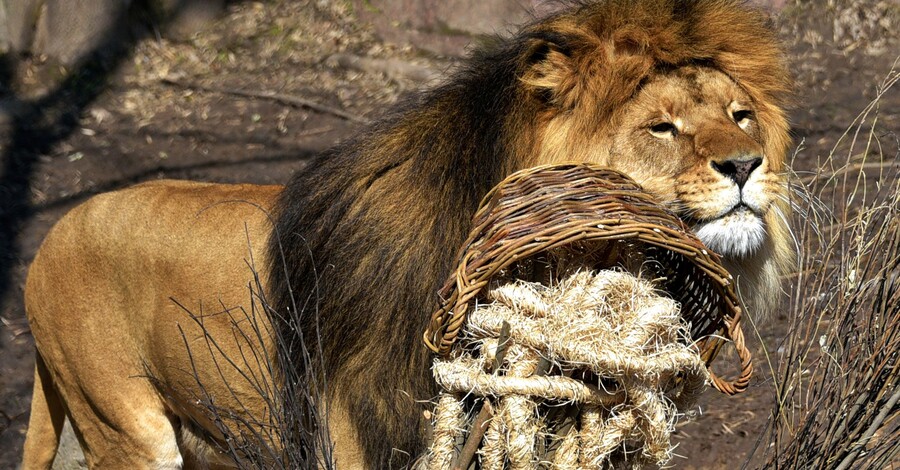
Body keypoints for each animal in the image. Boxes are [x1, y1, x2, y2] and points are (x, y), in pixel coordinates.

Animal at [21, 1, 792, 468]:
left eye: (740, 114)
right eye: (661, 127)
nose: (746, 164)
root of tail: (53, 234)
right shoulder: (360, 435)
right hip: (125, 425)